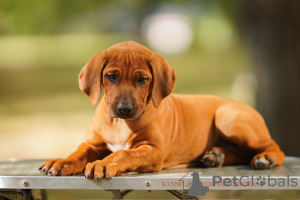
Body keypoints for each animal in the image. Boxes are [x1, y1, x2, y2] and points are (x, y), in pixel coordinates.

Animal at [39, 41, 284, 178]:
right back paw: (215, 157)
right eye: (111, 76)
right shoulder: (92, 143)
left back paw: (265, 159)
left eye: (142, 79)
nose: (124, 108)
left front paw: (103, 164)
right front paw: (60, 162)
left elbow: (123, 153)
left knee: (274, 147)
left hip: (228, 118)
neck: (120, 124)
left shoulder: (153, 150)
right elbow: (78, 153)